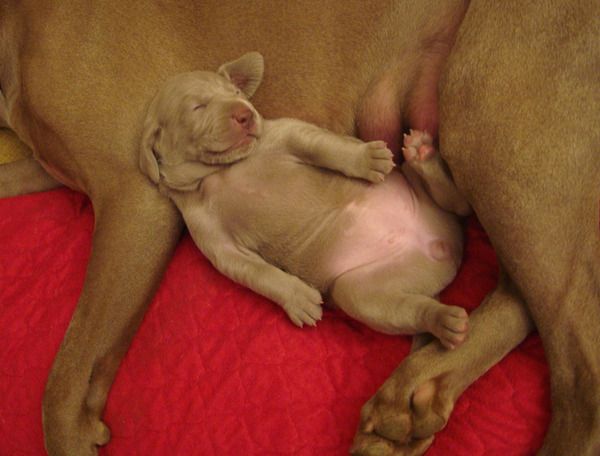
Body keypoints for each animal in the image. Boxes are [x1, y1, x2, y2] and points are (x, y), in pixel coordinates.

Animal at [139, 52, 470, 348]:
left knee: (461, 204)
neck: (216, 173)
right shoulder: (217, 243)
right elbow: (258, 272)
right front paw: (298, 298)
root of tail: (442, 246)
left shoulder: (290, 132)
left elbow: (325, 147)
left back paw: (423, 157)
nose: (246, 113)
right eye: (198, 107)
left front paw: (365, 158)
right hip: (364, 291)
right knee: (398, 305)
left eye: (236, 93)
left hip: (408, 182)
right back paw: (444, 321)